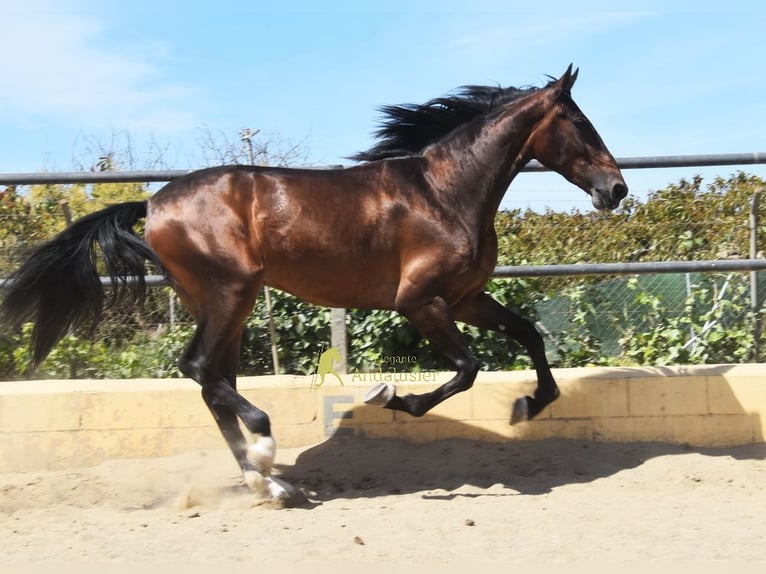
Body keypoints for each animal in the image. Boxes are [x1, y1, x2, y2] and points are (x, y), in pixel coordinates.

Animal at [0, 65, 627, 501]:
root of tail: (153, 203)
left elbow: (530, 336)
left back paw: (268, 483)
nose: (616, 189)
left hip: (223, 302)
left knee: (213, 382)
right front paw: (391, 397)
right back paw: (266, 450)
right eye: (580, 122)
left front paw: (530, 405)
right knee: (201, 370)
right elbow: (467, 369)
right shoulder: (421, 302)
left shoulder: (467, 299)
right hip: (230, 293)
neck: (444, 193)